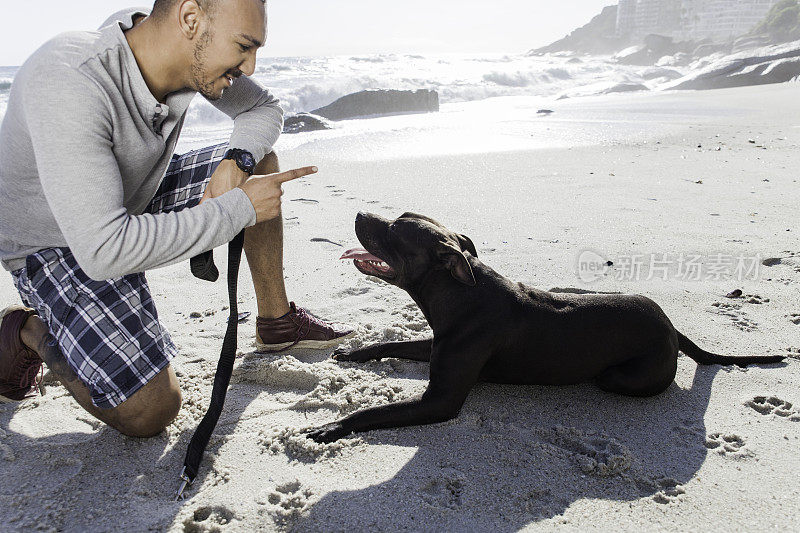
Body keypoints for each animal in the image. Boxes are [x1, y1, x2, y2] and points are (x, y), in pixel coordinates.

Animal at [304, 212, 780, 440]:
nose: (360, 213)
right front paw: (354, 353)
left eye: (395, 231)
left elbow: (373, 412)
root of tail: (672, 327)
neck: (461, 292)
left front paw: (332, 427)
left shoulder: (440, 401)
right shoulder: (436, 346)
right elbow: (394, 343)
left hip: (620, 376)